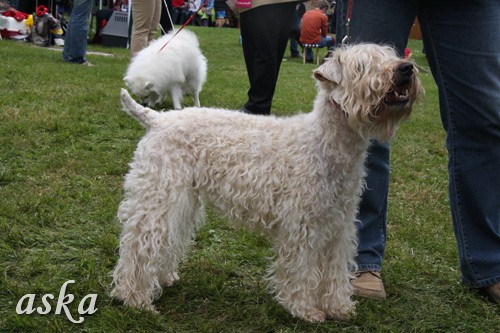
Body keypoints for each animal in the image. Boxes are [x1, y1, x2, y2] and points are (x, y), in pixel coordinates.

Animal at [110, 43, 422, 322]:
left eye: (391, 55)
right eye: (361, 66)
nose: (406, 68)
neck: (326, 145)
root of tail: (157, 120)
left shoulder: (339, 223)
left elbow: (334, 269)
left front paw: (338, 307)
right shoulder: (303, 225)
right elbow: (302, 269)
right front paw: (305, 310)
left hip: (182, 200)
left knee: (169, 238)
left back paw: (164, 277)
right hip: (158, 196)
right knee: (139, 244)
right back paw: (136, 299)